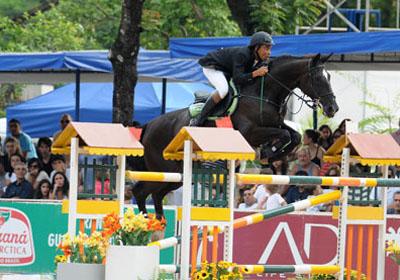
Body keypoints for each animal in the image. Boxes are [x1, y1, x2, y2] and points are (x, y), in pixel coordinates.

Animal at [130, 53, 338, 219]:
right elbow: (285, 134)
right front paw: (268, 153)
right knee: (140, 191)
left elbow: (294, 136)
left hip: (175, 175)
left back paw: (157, 222)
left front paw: (271, 155)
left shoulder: (276, 123)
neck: (264, 93)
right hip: (163, 169)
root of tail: (149, 126)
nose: (333, 109)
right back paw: (146, 223)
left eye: (329, 77)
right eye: (318, 78)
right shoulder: (250, 133)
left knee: (153, 194)